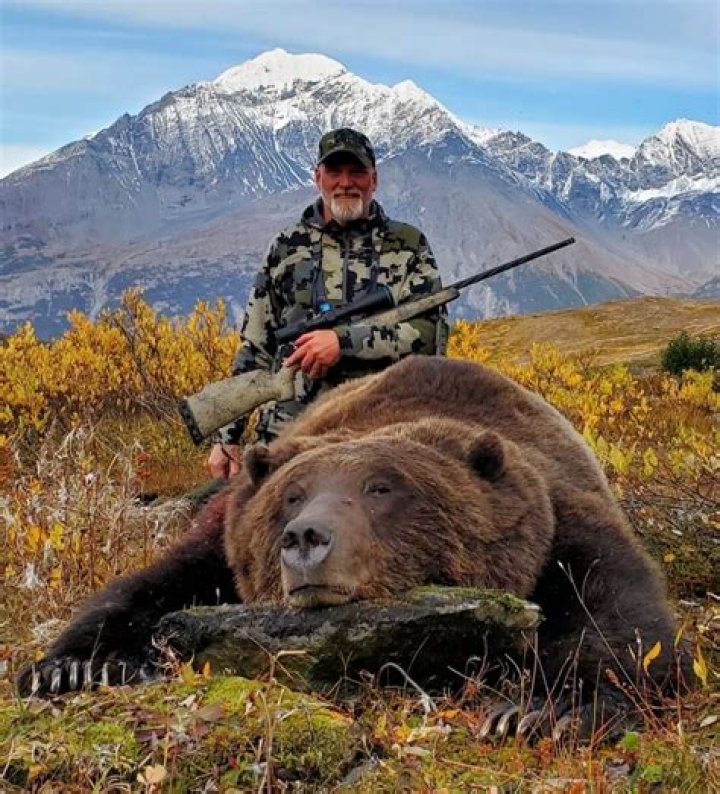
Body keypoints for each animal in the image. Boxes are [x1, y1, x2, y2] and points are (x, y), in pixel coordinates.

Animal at [17, 356, 686, 739]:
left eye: (381, 487)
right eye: (293, 495)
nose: (306, 538)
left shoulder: (562, 519)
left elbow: (620, 619)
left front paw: (537, 711)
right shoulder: (224, 536)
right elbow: (149, 585)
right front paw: (74, 666)